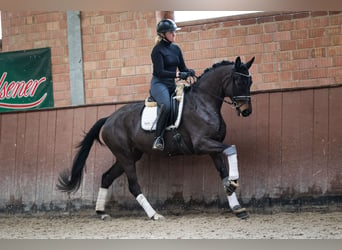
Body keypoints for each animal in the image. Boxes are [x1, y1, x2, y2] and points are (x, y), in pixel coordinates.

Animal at [57, 56, 254, 219]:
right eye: (239, 80)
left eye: (250, 81)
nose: (246, 111)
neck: (203, 102)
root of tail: (109, 118)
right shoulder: (202, 144)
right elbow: (232, 148)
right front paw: (234, 182)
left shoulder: (214, 146)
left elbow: (223, 172)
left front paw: (237, 206)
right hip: (125, 156)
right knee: (133, 185)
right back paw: (154, 214)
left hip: (128, 155)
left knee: (106, 177)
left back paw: (101, 212)